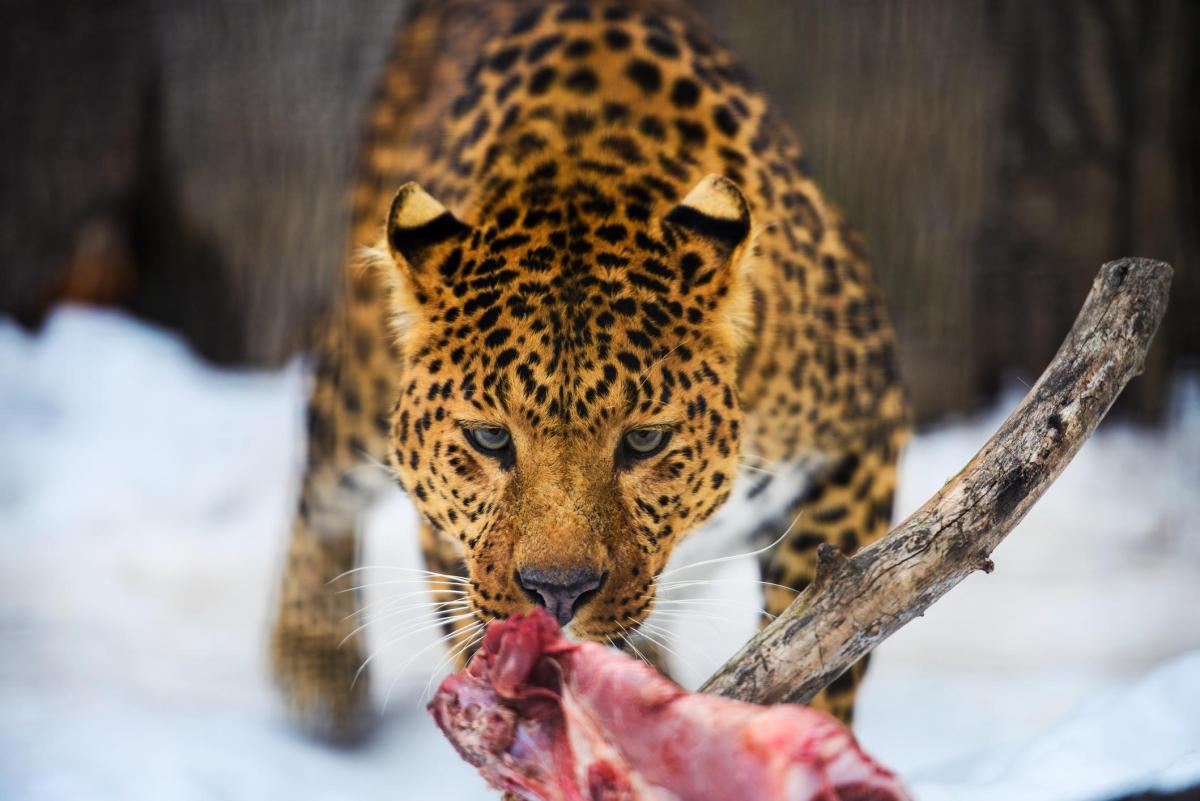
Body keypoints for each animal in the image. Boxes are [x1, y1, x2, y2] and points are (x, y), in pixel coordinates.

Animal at [269, 0, 909, 744]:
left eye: (645, 440)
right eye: (489, 438)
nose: (558, 592)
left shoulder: (861, 435)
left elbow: (827, 633)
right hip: (361, 377)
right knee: (322, 464)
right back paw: (312, 661)